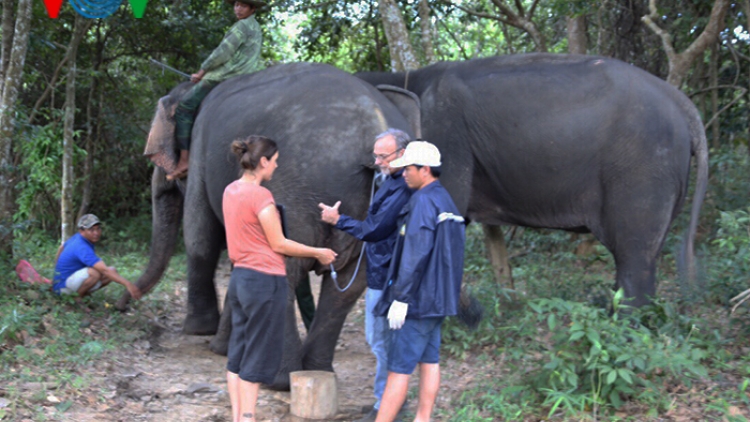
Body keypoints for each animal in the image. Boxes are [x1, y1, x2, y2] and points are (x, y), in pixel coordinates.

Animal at [117, 62, 412, 390]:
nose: (121, 304)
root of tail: (374, 126)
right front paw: (222, 345)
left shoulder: (201, 158)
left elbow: (199, 237)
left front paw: (199, 331)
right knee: (350, 284)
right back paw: (316, 369)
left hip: (297, 188)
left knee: (284, 267)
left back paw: (277, 378)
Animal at [358, 54, 712, 308]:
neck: (405, 77)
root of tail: (681, 100)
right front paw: (505, 305)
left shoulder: (446, 142)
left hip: (643, 169)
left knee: (634, 257)